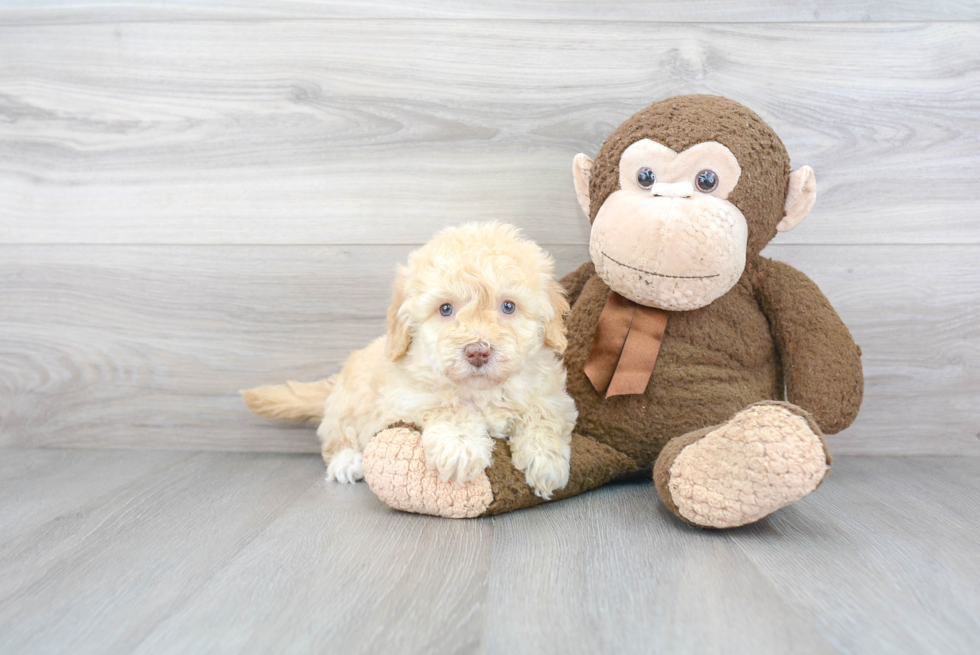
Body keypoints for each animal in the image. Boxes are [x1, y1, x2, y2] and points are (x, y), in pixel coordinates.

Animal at [244, 223, 580, 500]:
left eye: (508, 306)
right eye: (445, 309)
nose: (477, 351)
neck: (482, 390)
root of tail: (335, 385)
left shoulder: (553, 396)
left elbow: (542, 415)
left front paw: (546, 460)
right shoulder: (409, 396)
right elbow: (449, 407)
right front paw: (461, 448)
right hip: (350, 405)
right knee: (335, 438)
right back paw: (346, 461)